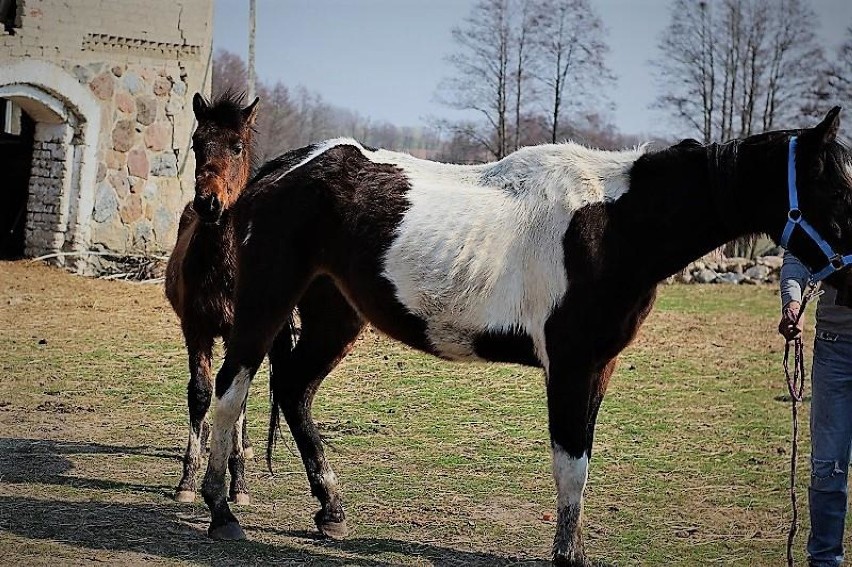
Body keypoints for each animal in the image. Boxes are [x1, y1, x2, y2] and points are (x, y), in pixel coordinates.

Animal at [195, 108, 852, 564]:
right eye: (836, 188)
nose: (851, 266)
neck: (612, 225)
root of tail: (277, 170)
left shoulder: (598, 368)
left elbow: (580, 461)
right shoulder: (570, 366)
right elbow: (570, 464)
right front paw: (566, 556)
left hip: (335, 315)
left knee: (294, 390)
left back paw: (330, 509)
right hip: (264, 306)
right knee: (231, 392)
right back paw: (221, 510)